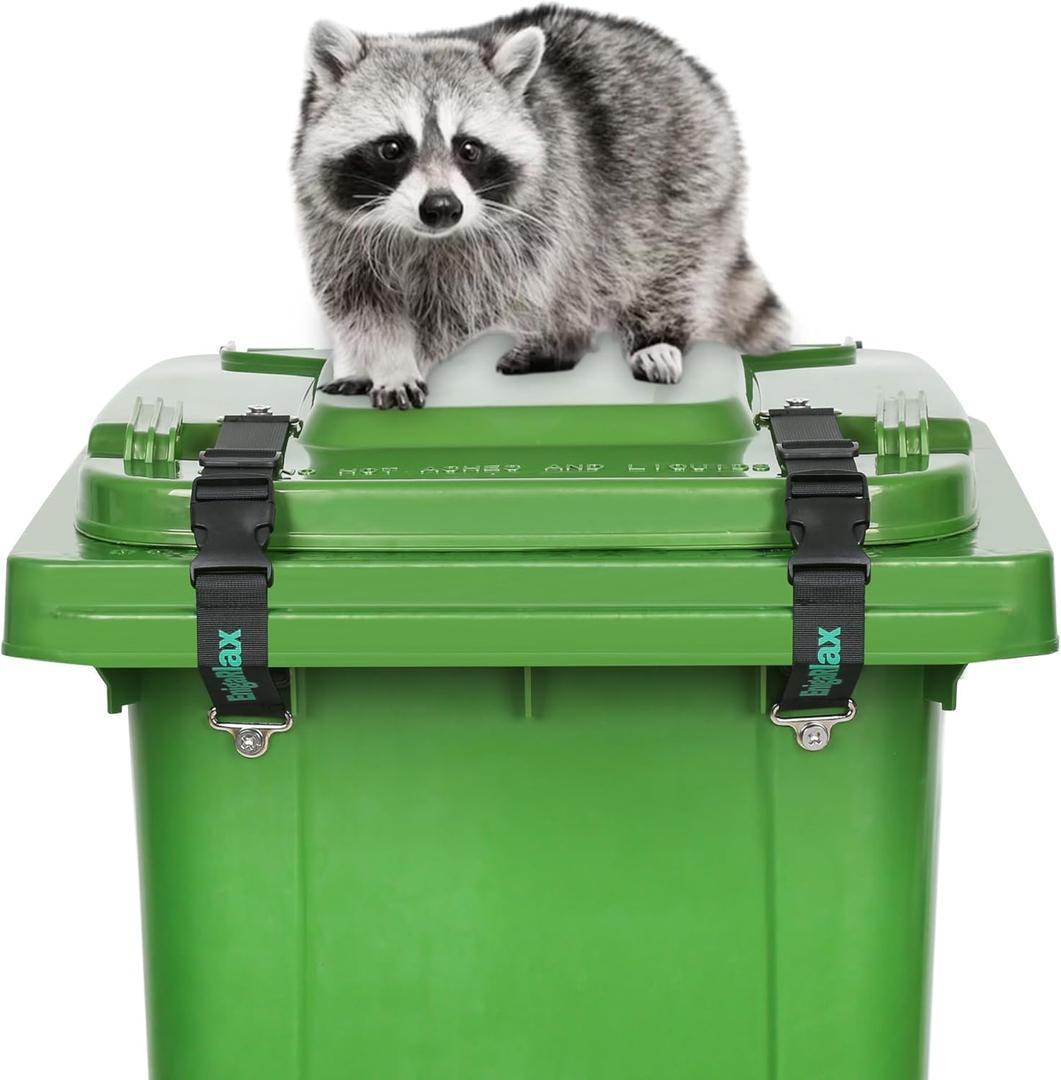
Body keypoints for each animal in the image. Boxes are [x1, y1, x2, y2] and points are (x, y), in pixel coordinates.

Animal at [293, 6, 790, 408]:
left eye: (469, 149)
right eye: (393, 148)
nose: (442, 208)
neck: (424, 237)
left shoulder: (525, 222)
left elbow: (460, 309)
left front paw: (404, 359)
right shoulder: (336, 226)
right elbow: (357, 299)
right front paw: (370, 359)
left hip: (688, 176)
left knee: (662, 265)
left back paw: (656, 338)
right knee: (576, 285)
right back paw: (560, 345)